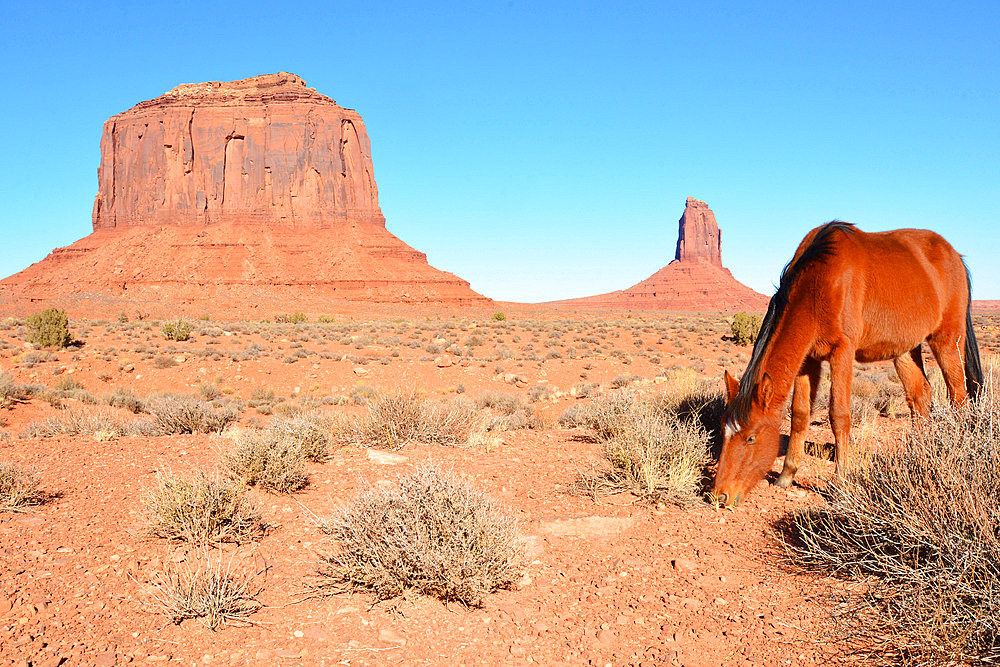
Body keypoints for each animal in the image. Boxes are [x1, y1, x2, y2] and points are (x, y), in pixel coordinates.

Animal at [712, 222, 984, 508]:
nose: (720, 496)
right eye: (723, 430)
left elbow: (838, 415)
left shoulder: (842, 352)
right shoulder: (808, 359)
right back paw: (918, 454)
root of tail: (955, 256)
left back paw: (956, 451)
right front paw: (786, 476)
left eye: (751, 437)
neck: (820, 282)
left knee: (958, 397)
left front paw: (841, 481)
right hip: (905, 350)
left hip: (948, 341)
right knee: (921, 396)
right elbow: (800, 414)